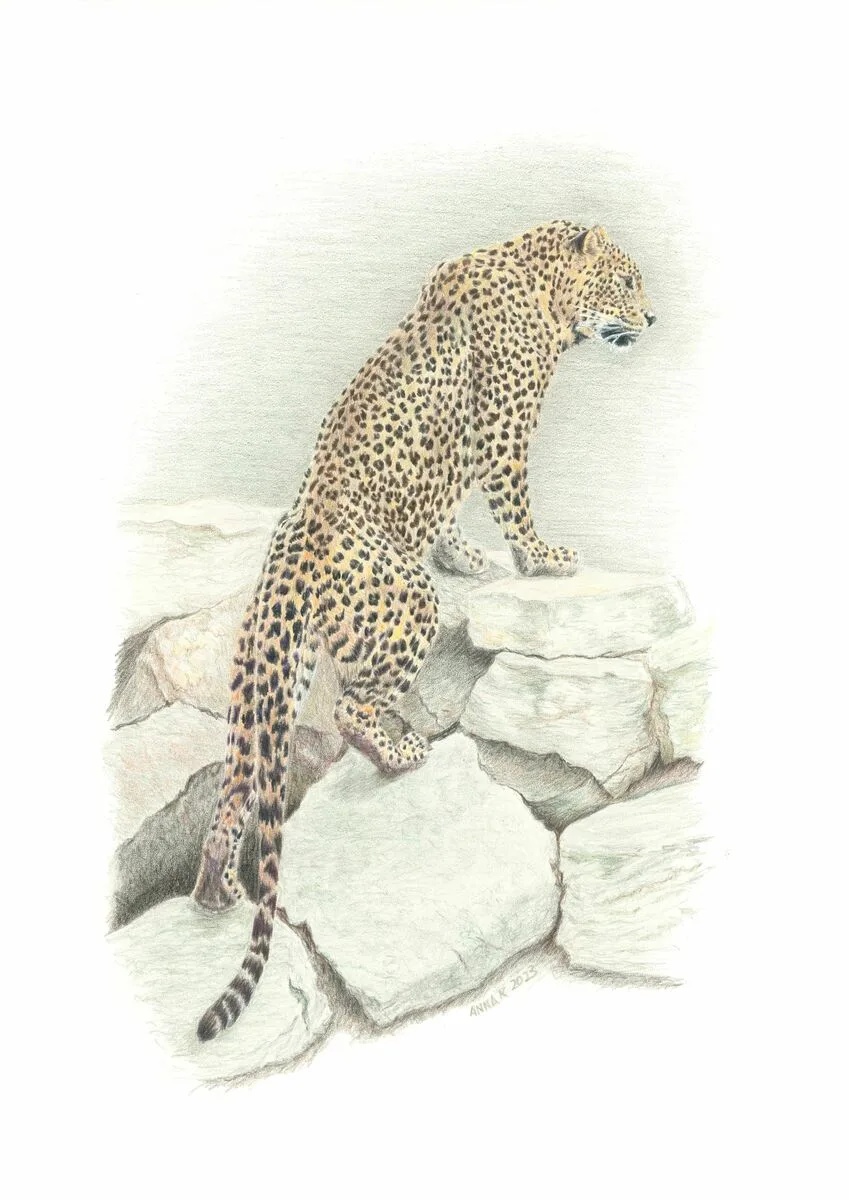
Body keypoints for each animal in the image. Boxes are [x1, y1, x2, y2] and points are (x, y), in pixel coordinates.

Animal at [191, 221, 655, 1040]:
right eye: (625, 279)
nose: (654, 317)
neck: (542, 286)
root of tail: (288, 552)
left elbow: (452, 512)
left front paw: (465, 553)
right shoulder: (504, 428)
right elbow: (513, 503)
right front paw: (542, 559)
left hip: (278, 678)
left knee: (241, 782)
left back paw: (215, 891)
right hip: (405, 610)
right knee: (352, 707)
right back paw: (400, 751)